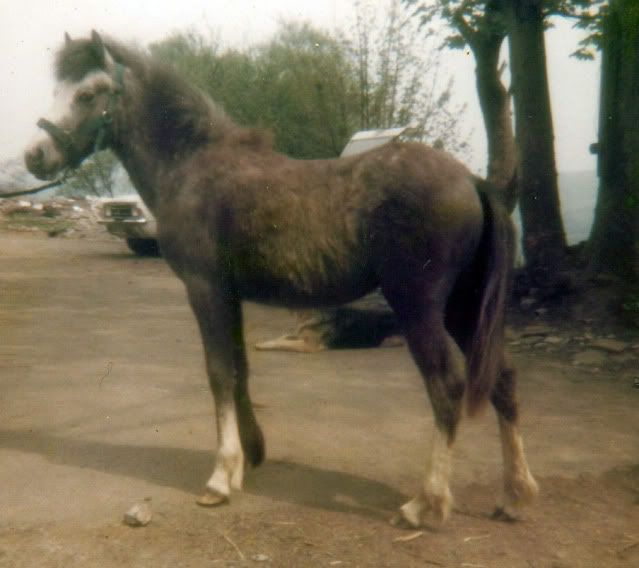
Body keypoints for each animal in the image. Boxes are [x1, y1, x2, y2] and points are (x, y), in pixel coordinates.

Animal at [24, 31, 538, 528]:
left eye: (87, 93)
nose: (35, 156)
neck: (192, 167)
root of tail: (472, 181)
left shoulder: (204, 290)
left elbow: (218, 372)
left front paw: (219, 480)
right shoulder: (228, 295)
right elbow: (239, 369)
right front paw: (248, 457)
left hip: (418, 306)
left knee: (446, 386)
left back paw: (425, 504)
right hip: (463, 307)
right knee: (503, 378)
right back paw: (513, 497)